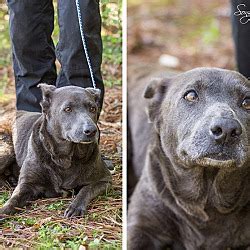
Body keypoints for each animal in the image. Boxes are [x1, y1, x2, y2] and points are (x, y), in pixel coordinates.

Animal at [0, 84, 111, 217]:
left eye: (93, 108)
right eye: (67, 109)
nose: (92, 131)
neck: (65, 157)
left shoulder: (105, 180)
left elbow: (86, 189)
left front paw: (75, 206)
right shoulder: (27, 184)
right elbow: (13, 200)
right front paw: (3, 210)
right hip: (7, 150)